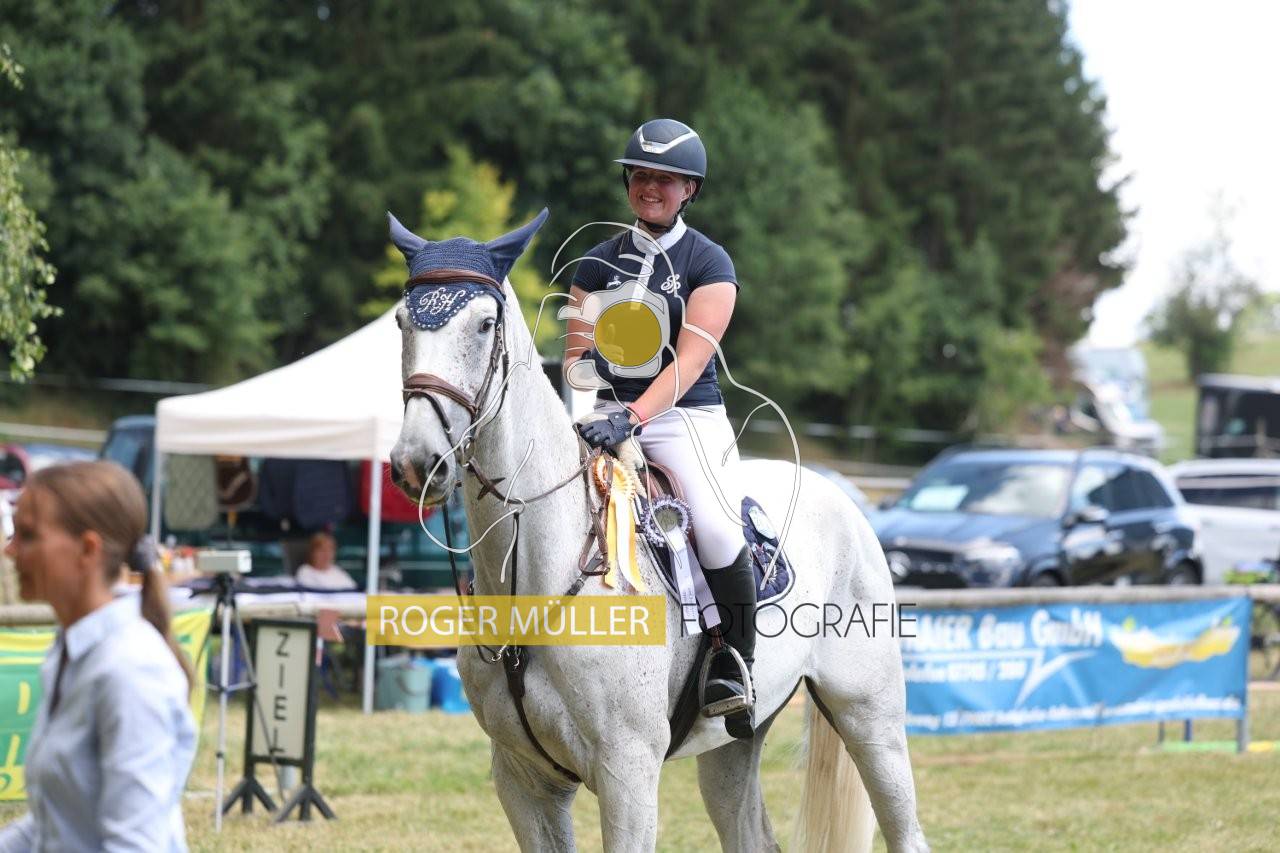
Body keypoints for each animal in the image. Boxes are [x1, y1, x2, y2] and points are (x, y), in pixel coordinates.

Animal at [388, 212, 928, 852]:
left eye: (484, 324)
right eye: (401, 321)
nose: (418, 462)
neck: (539, 572)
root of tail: (843, 497)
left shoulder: (628, 773)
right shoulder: (523, 780)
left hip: (869, 717)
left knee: (904, 823)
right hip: (736, 740)